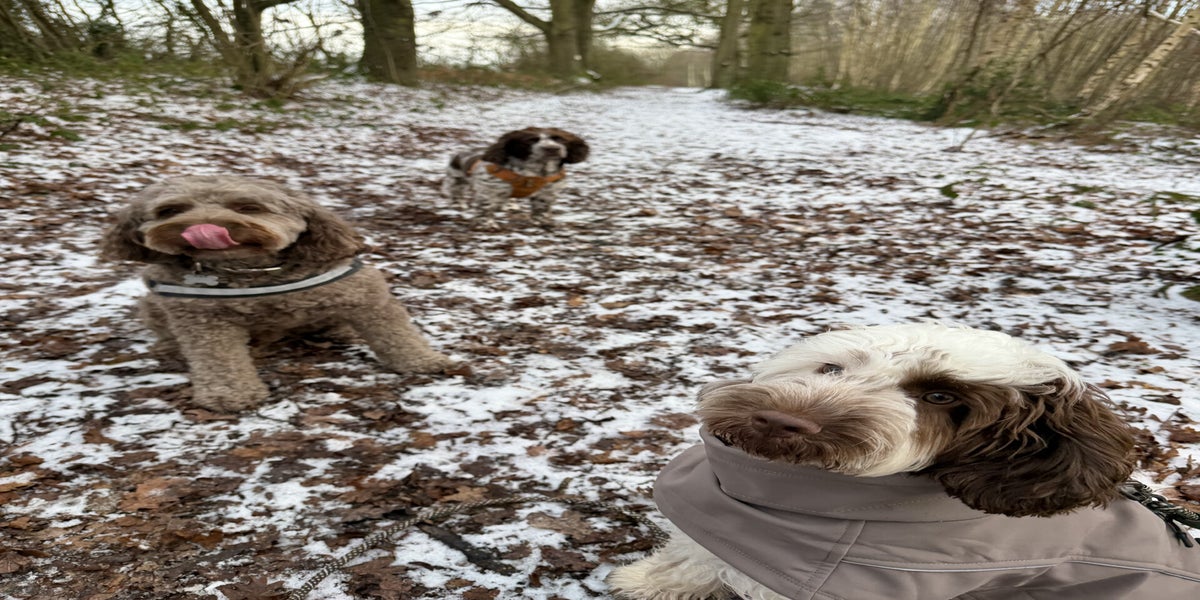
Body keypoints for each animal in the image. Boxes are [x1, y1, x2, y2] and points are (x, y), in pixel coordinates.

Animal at [100, 175, 455, 412]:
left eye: (248, 207)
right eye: (170, 210)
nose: (202, 228)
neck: (251, 272)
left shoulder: (361, 288)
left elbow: (395, 332)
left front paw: (423, 361)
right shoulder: (199, 315)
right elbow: (218, 357)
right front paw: (229, 394)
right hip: (152, 302)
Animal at [442, 127, 589, 229]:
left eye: (559, 139)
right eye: (531, 140)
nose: (552, 149)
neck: (536, 171)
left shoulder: (546, 193)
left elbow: (541, 210)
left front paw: (542, 223)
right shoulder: (489, 191)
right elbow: (485, 208)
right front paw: (486, 224)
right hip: (457, 182)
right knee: (457, 194)